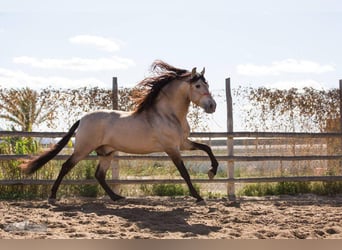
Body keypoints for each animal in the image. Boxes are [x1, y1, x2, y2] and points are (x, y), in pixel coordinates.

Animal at [20, 60, 218, 203]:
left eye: (207, 84)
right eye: (198, 86)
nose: (212, 106)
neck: (167, 114)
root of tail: (82, 119)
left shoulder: (183, 143)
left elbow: (207, 148)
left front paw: (212, 171)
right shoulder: (171, 148)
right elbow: (184, 172)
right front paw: (198, 196)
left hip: (106, 152)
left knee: (99, 175)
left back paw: (116, 197)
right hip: (83, 149)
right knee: (66, 167)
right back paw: (52, 196)